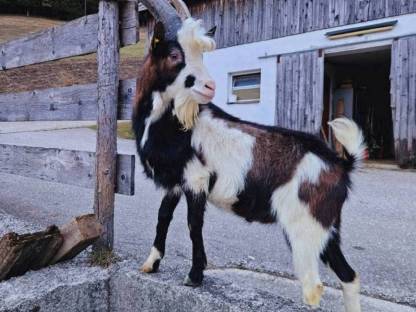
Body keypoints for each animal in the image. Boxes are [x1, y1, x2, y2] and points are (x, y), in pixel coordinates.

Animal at [132, 1, 364, 310]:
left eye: (201, 53)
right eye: (174, 54)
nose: (210, 86)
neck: (171, 123)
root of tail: (340, 164)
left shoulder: (196, 178)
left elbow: (193, 224)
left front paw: (194, 275)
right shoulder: (175, 183)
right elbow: (163, 217)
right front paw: (151, 263)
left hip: (305, 228)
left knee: (314, 287)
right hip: (327, 228)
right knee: (348, 276)